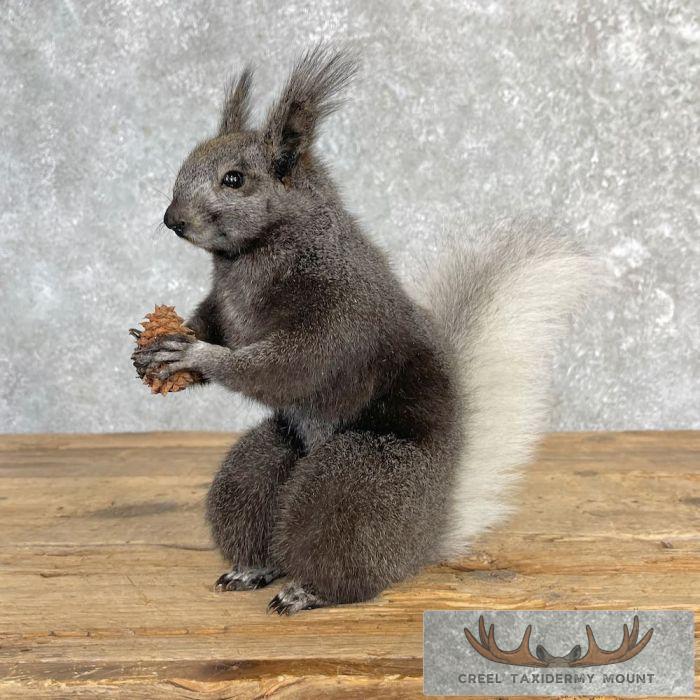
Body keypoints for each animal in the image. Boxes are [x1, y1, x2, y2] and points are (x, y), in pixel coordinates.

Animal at [132, 45, 594, 614]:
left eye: (234, 179)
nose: (172, 219)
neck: (250, 256)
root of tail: (426, 534)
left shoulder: (338, 317)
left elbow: (284, 368)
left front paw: (193, 356)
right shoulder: (224, 307)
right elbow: (214, 325)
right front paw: (154, 353)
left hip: (360, 477)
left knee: (341, 552)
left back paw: (306, 590)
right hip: (268, 460)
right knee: (260, 501)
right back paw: (251, 567)